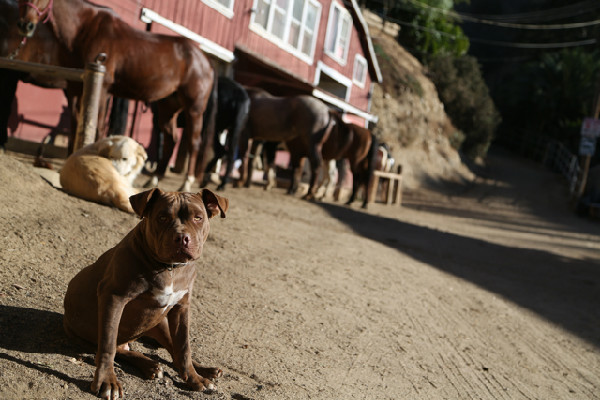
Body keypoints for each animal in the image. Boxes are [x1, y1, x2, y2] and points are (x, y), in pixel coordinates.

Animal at [16, 0, 217, 191]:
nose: (25, 25)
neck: (85, 29)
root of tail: (205, 61)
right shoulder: (74, 89)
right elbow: (75, 126)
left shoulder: (102, 89)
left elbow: (98, 127)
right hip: (167, 107)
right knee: (171, 140)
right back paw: (154, 179)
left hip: (194, 109)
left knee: (194, 142)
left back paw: (186, 183)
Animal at [62, 188, 227, 400]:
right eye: (162, 217)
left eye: (198, 217)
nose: (182, 238)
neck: (169, 268)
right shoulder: (113, 298)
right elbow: (108, 345)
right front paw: (107, 381)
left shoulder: (181, 308)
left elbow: (184, 347)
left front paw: (194, 379)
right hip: (83, 335)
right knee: (116, 348)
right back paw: (149, 366)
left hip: (160, 323)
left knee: (173, 350)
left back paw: (203, 370)